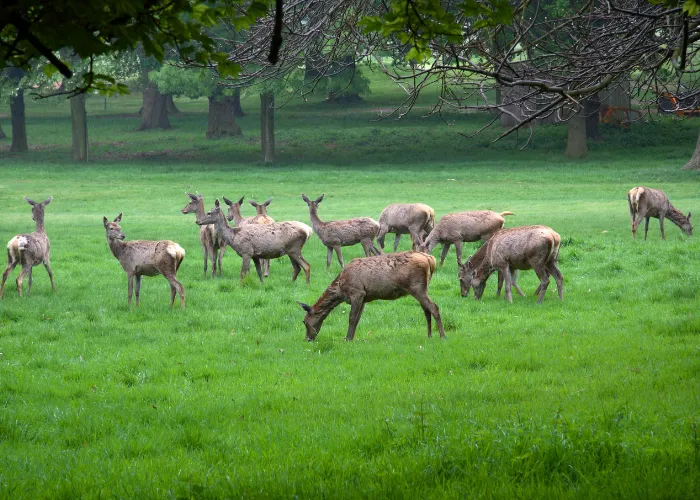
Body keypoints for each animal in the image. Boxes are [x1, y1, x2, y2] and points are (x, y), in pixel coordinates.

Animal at [298, 252, 446, 342]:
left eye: (304, 321)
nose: (307, 339)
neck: (340, 289)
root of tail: (430, 259)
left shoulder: (357, 292)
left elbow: (351, 318)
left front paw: (347, 339)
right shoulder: (364, 298)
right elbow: (357, 319)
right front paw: (351, 338)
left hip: (416, 287)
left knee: (434, 307)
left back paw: (443, 336)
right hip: (422, 288)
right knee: (426, 310)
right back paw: (429, 335)